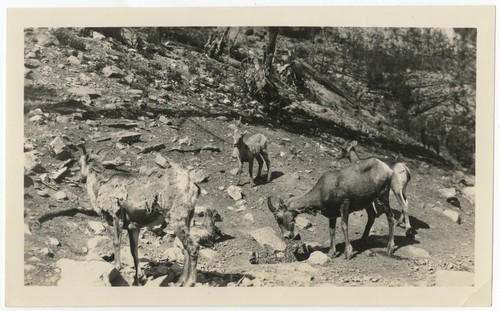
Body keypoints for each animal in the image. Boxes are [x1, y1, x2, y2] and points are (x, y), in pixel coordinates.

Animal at [79, 147, 200, 286]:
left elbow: (116, 242)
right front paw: (139, 278)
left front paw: (118, 266)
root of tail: (192, 187)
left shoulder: (117, 216)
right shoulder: (133, 227)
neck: (99, 187)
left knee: (193, 248)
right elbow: (134, 251)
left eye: (80, 163)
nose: (81, 177)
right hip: (187, 220)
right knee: (186, 249)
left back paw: (190, 282)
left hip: (177, 219)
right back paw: (180, 281)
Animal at [268, 157, 396, 260]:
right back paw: (361, 243)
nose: (287, 236)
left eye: (279, 217)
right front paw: (331, 253)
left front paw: (348, 253)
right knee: (372, 216)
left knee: (391, 217)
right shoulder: (332, 214)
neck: (323, 190)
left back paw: (389, 249)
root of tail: (387, 169)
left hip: (383, 195)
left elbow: (344, 226)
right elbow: (331, 230)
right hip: (368, 201)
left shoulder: (344, 204)